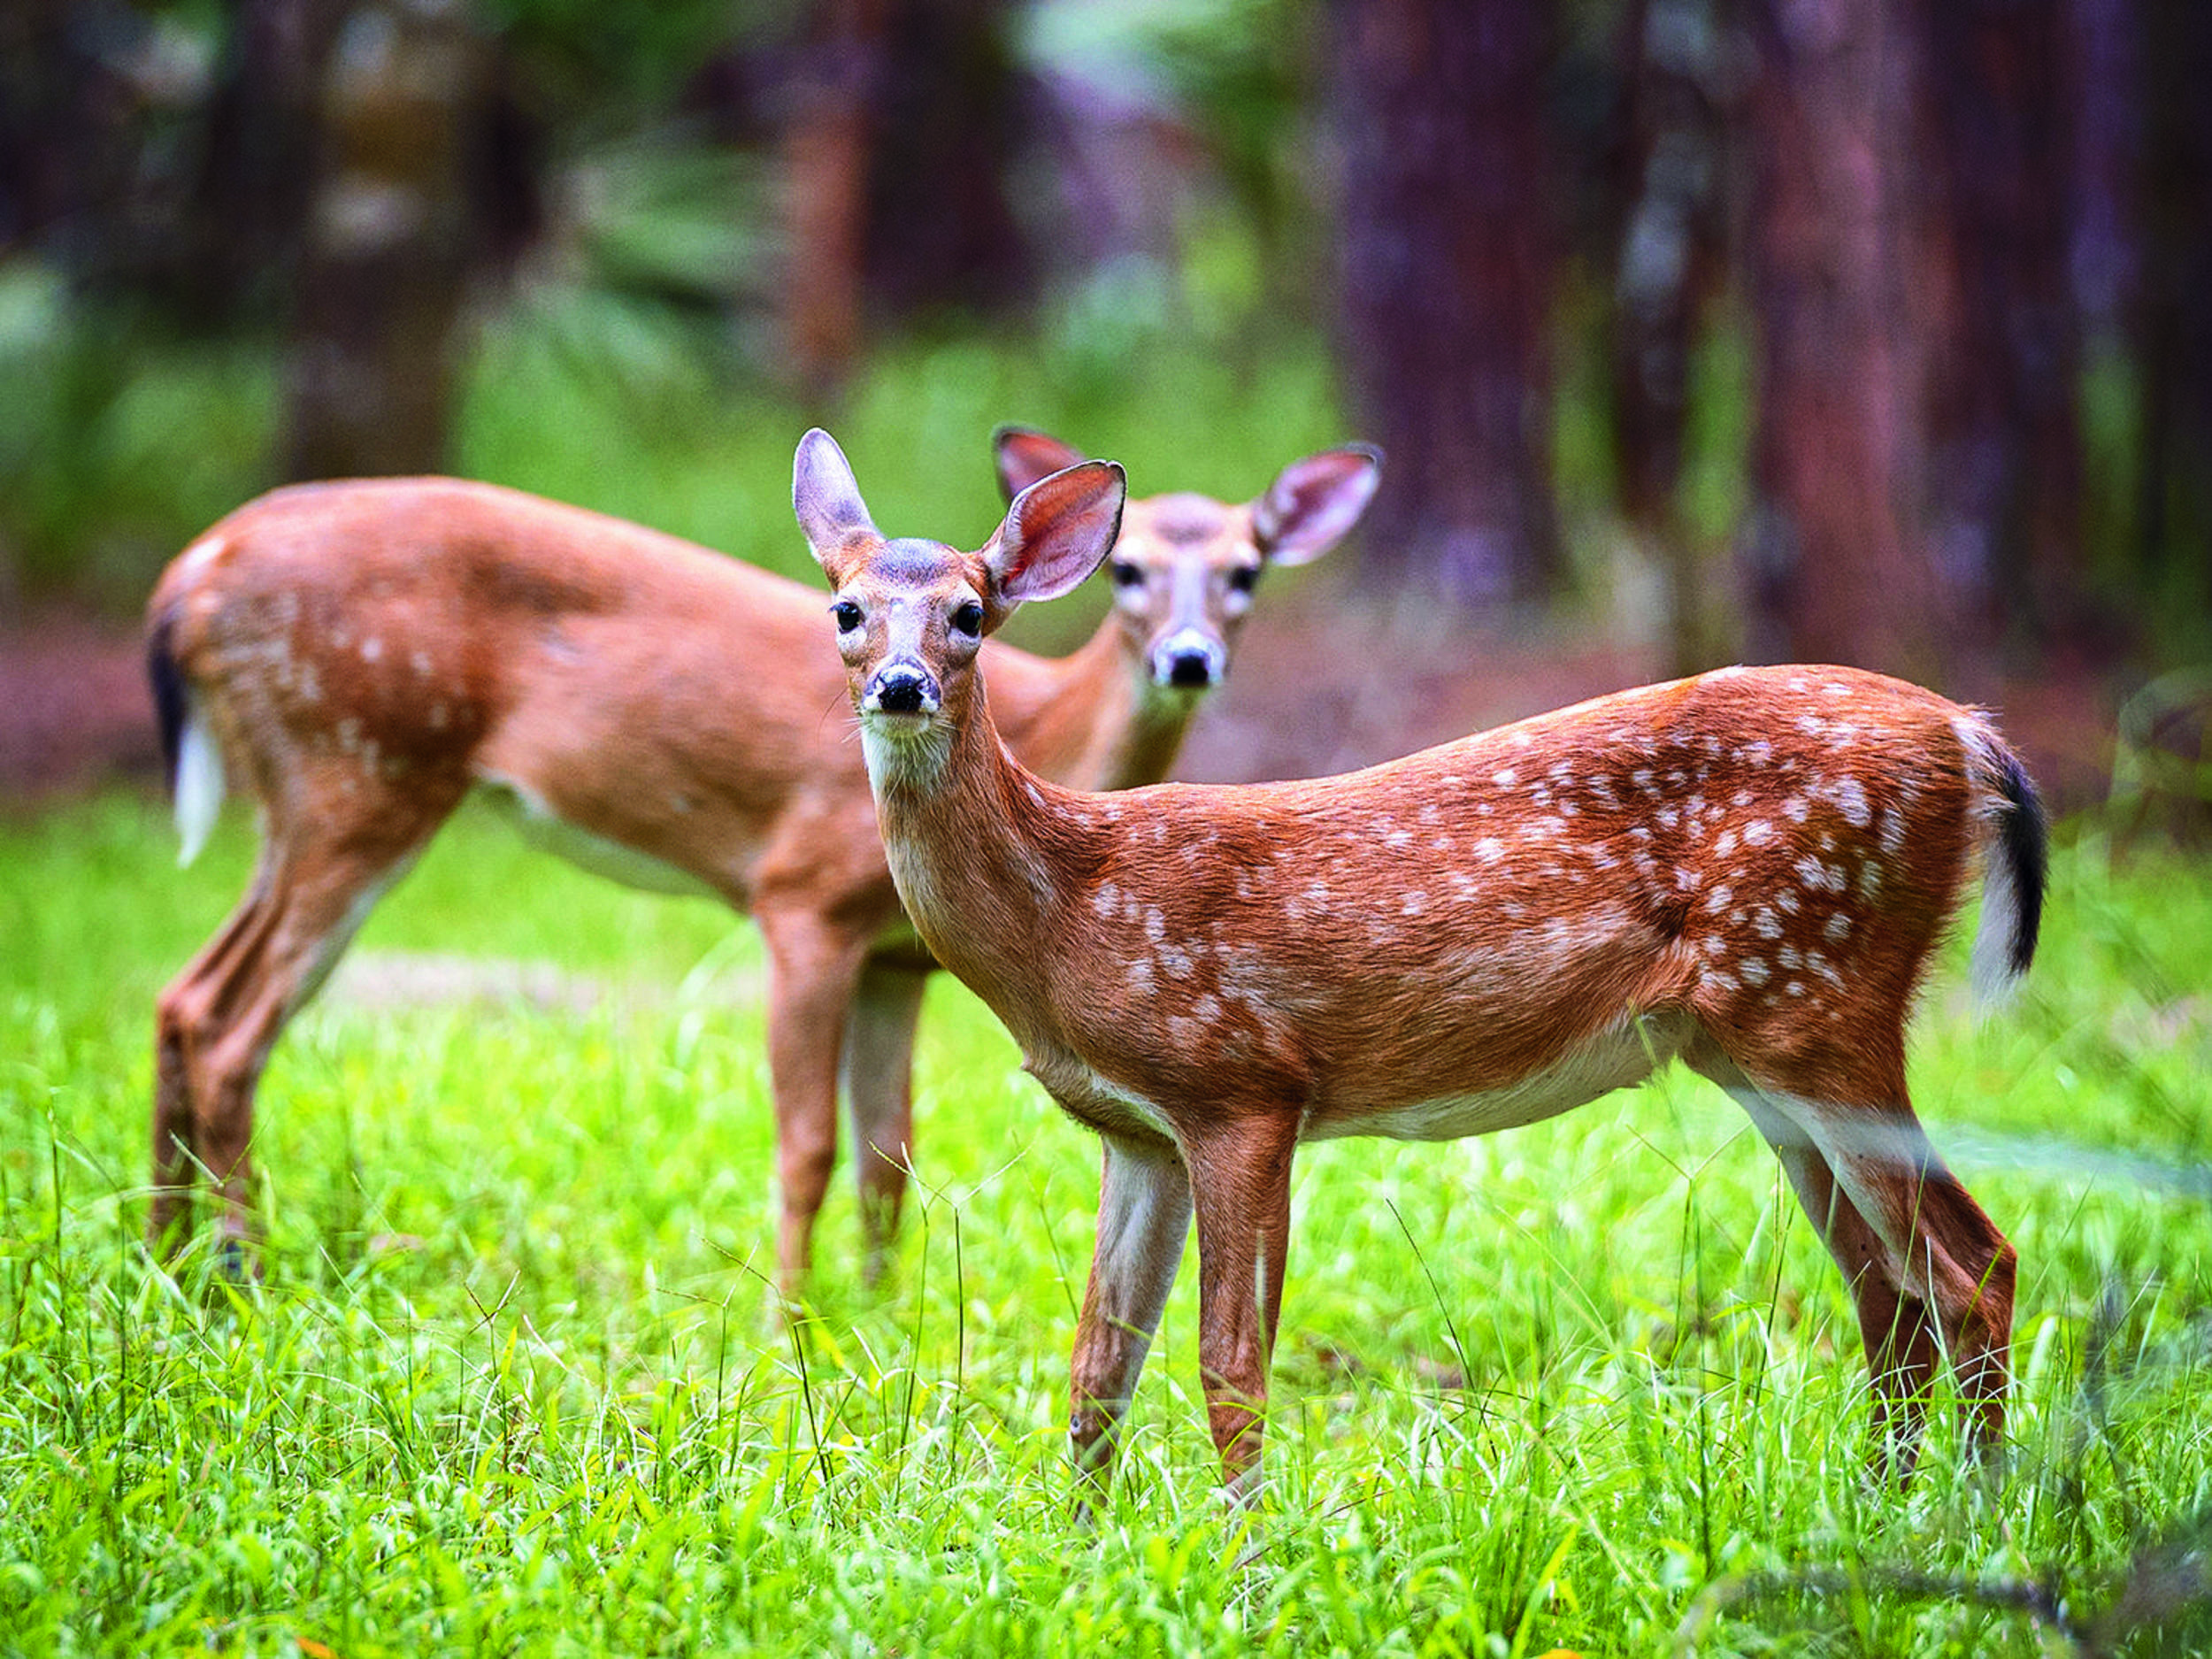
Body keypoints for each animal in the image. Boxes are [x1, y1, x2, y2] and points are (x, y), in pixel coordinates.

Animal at [142, 429, 1383, 1290]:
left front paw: (883, 1312)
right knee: (235, 1022)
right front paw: (789, 1325)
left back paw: (166, 1263)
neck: (1049, 736)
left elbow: (889, 1150)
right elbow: (806, 1146)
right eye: (1128, 572)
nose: (1189, 659)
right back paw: (238, 1269)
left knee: (183, 993)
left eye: (1247, 572)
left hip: (311, 787)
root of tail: (191, 570)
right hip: (360, 764)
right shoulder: (800, 899)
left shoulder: (897, 956)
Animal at [793, 427, 2048, 1501]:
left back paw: (1970, 1520)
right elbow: (1098, 1371)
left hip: (1821, 991)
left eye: (969, 614)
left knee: (1972, 1269)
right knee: (1887, 1293)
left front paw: (1246, 1568)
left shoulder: (1243, 1086)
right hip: (1756, 1042)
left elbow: (1230, 1369)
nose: (899, 685)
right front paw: (1088, 1547)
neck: (1068, 912)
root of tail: (1970, 734)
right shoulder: (1137, 1131)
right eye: (845, 609)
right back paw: (1883, 1501)